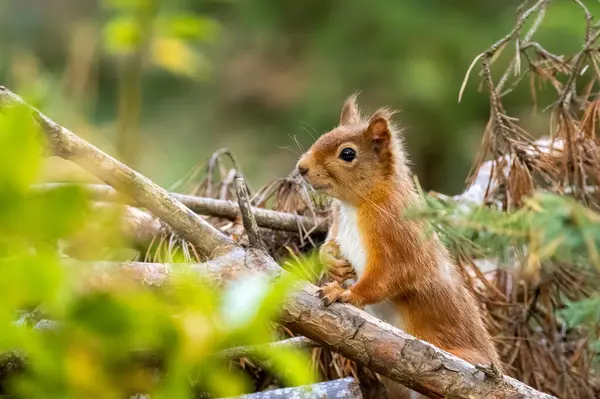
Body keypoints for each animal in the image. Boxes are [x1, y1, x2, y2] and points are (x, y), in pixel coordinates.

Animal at [296, 95, 502, 398]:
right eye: (325, 135)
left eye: (348, 154)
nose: (301, 167)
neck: (356, 204)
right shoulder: (337, 224)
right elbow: (329, 245)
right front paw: (334, 264)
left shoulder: (398, 237)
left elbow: (387, 277)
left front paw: (345, 294)